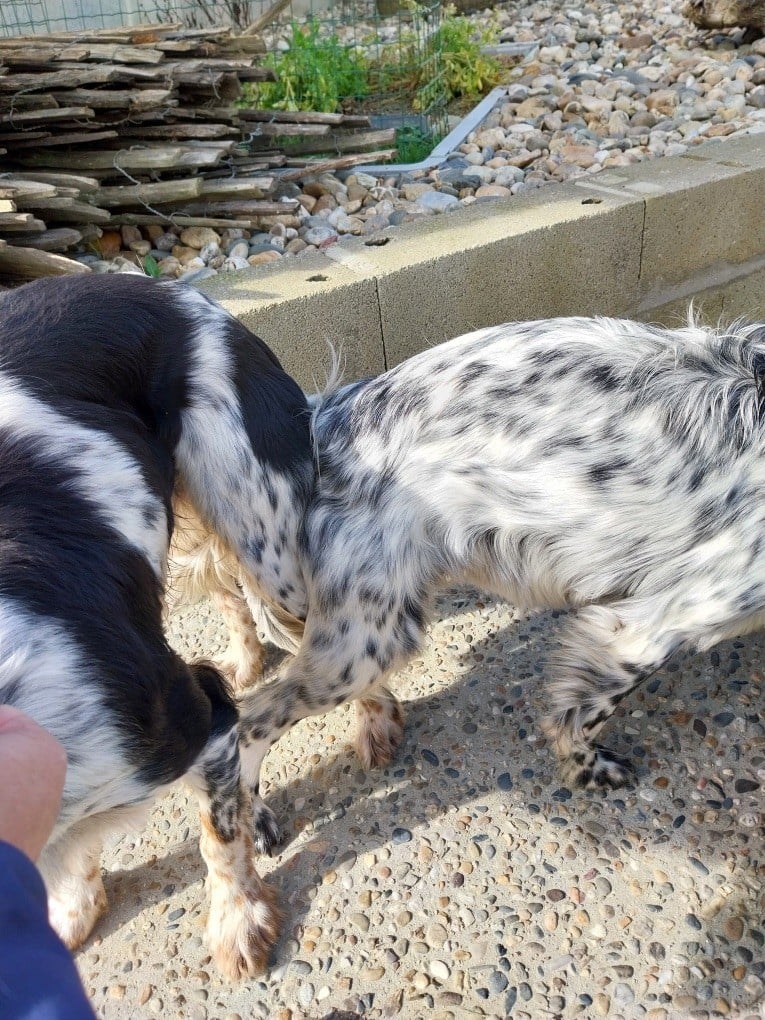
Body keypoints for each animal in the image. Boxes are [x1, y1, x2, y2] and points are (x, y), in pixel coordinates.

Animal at [0, 275, 314, 975]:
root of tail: (179, 292)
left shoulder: (191, 716)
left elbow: (219, 837)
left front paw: (239, 922)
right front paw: (73, 910)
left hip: (262, 533)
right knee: (230, 597)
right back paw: (247, 660)